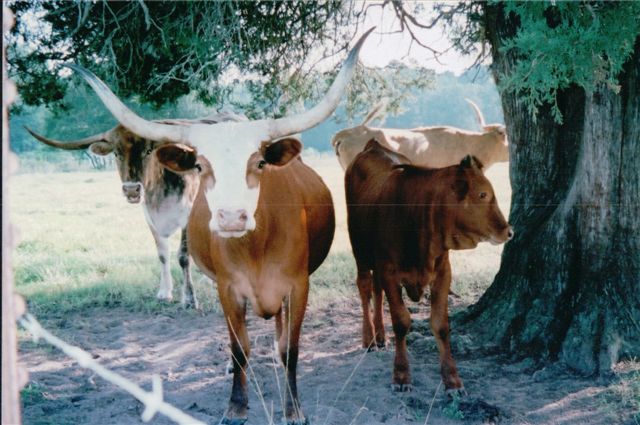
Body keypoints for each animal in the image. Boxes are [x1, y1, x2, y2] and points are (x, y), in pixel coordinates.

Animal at [25, 112, 247, 309]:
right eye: (116, 153)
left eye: (147, 152)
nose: (132, 189)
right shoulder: (150, 218)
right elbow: (162, 254)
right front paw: (164, 292)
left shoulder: (187, 216)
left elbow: (183, 256)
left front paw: (189, 298)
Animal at [64, 28, 373, 424]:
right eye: (200, 166)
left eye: (259, 163)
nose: (230, 217)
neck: (256, 247)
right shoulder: (228, 289)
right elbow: (239, 347)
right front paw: (236, 405)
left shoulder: (298, 286)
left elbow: (290, 347)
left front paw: (293, 408)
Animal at [345, 139, 512, 395]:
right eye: (482, 194)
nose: (509, 231)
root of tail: (372, 145)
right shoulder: (389, 272)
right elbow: (401, 321)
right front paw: (401, 375)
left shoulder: (443, 272)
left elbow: (440, 325)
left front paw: (452, 380)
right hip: (360, 250)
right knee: (364, 288)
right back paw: (370, 338)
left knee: (376, 290)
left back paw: (381, 336)